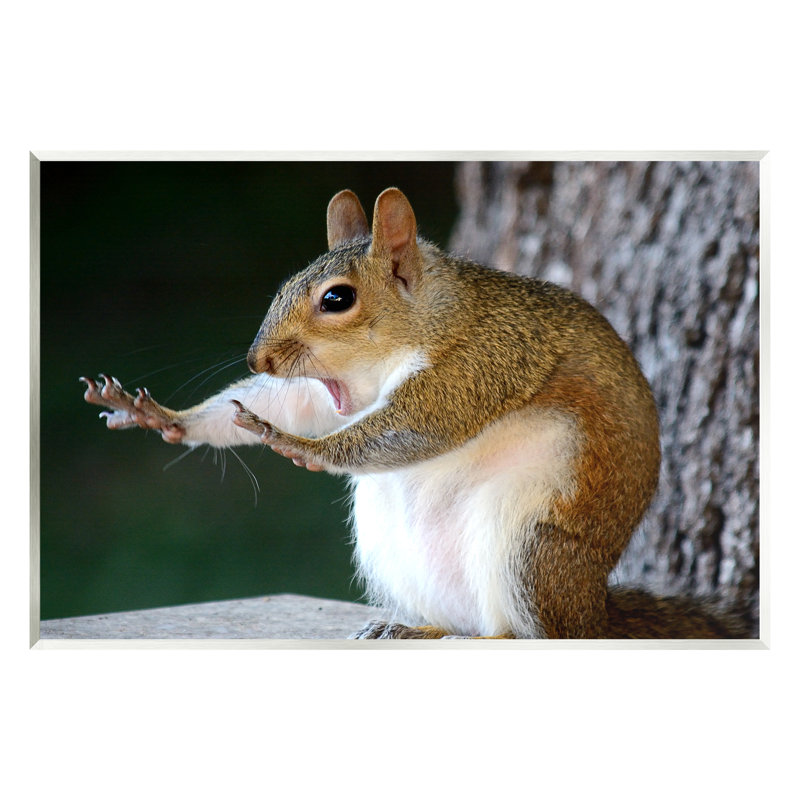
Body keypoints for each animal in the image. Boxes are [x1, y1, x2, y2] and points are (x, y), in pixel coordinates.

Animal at [81, 187, 752, 639]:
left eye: (337, 299)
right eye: (284, 285)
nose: (259, 357)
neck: (428, 319)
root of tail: (592, 613)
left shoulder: (485, 359)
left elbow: (420, 424)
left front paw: (304, 448)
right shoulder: (325, 390)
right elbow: (290, 400)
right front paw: (163, 416)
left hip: (530, 546)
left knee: (520, 634)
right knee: (465, 624)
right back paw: (411, 627)